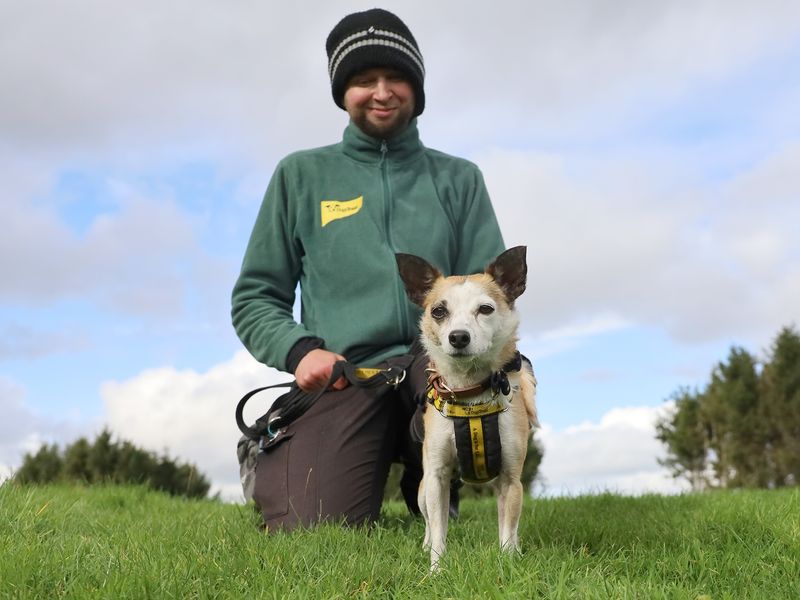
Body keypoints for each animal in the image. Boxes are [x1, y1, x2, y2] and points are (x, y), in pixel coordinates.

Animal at [396, 246, 536, 568]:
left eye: (485, 309)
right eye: (438, 311)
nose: (458, 336)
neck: (471, 391)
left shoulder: (511, 480)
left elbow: (507, 529)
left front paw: (507, 562)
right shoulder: (436, 478)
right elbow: (438, 531)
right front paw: (436, 569)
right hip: (423, 488)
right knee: (427, 520)